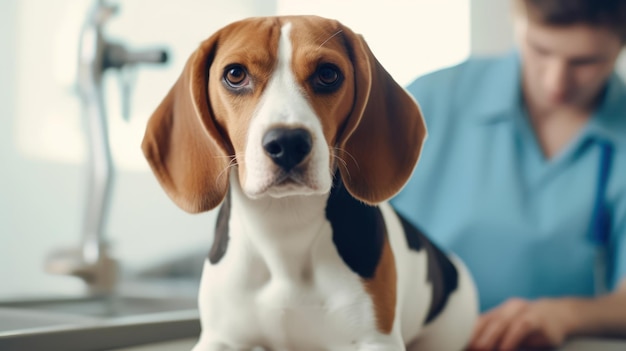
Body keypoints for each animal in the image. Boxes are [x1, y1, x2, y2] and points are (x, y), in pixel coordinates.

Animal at [141, 15, 476, 350]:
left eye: (328, 74)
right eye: (235, 74)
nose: (288, 143)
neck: (284, 228)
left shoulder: (374, 339)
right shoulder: (220, 338)